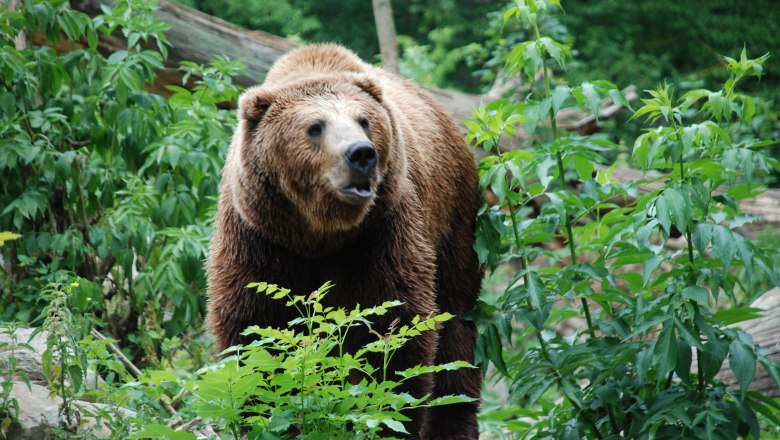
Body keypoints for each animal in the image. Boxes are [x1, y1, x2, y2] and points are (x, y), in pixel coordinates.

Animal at [206, 44, 482, 439]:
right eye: (315, 127)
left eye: (364, 120)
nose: (362, 154)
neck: (318, 231)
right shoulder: (259, 236)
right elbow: (255, 327)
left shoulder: (379, 233)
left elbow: (388, 331)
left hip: (453, 221)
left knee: (456, 329)